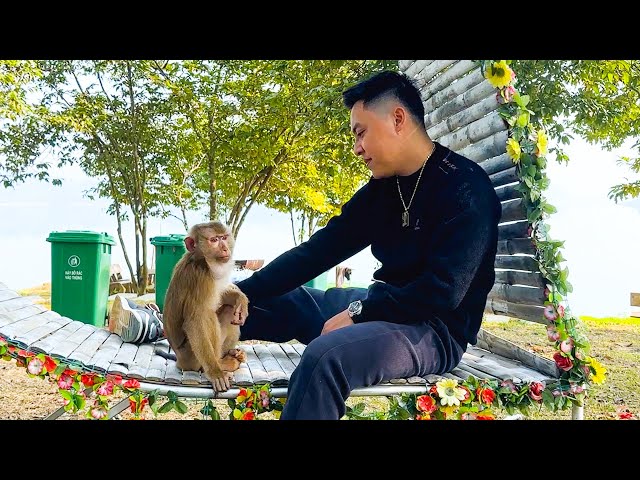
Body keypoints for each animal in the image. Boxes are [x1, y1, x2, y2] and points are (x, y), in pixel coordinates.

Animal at [156, 221, 251, 394]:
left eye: (223, 238)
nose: (225, 248)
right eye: (213, 240)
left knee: (229, 310)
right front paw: (215, 373)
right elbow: (195, 321)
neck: (200, 260)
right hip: (191, 357)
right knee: (207, 314)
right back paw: (221, 365)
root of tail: (180, 362)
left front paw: (240, 299)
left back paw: (231, 356)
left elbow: (223, 296)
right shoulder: (200, 278)